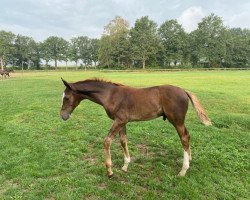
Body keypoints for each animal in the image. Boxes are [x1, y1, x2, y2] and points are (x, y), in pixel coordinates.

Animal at [60, 77, 211, 177]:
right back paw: (189, 160)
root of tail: (184, 91)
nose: (63, 116)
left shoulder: (119, 121)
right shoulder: (122, 122)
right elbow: (123, 141)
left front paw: (109, 171)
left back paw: (183, 170)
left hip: (177, 121)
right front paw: (125, 166)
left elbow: (107, 141)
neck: (110, 95)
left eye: (66, 98)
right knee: (187, 136)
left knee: (184, 138)